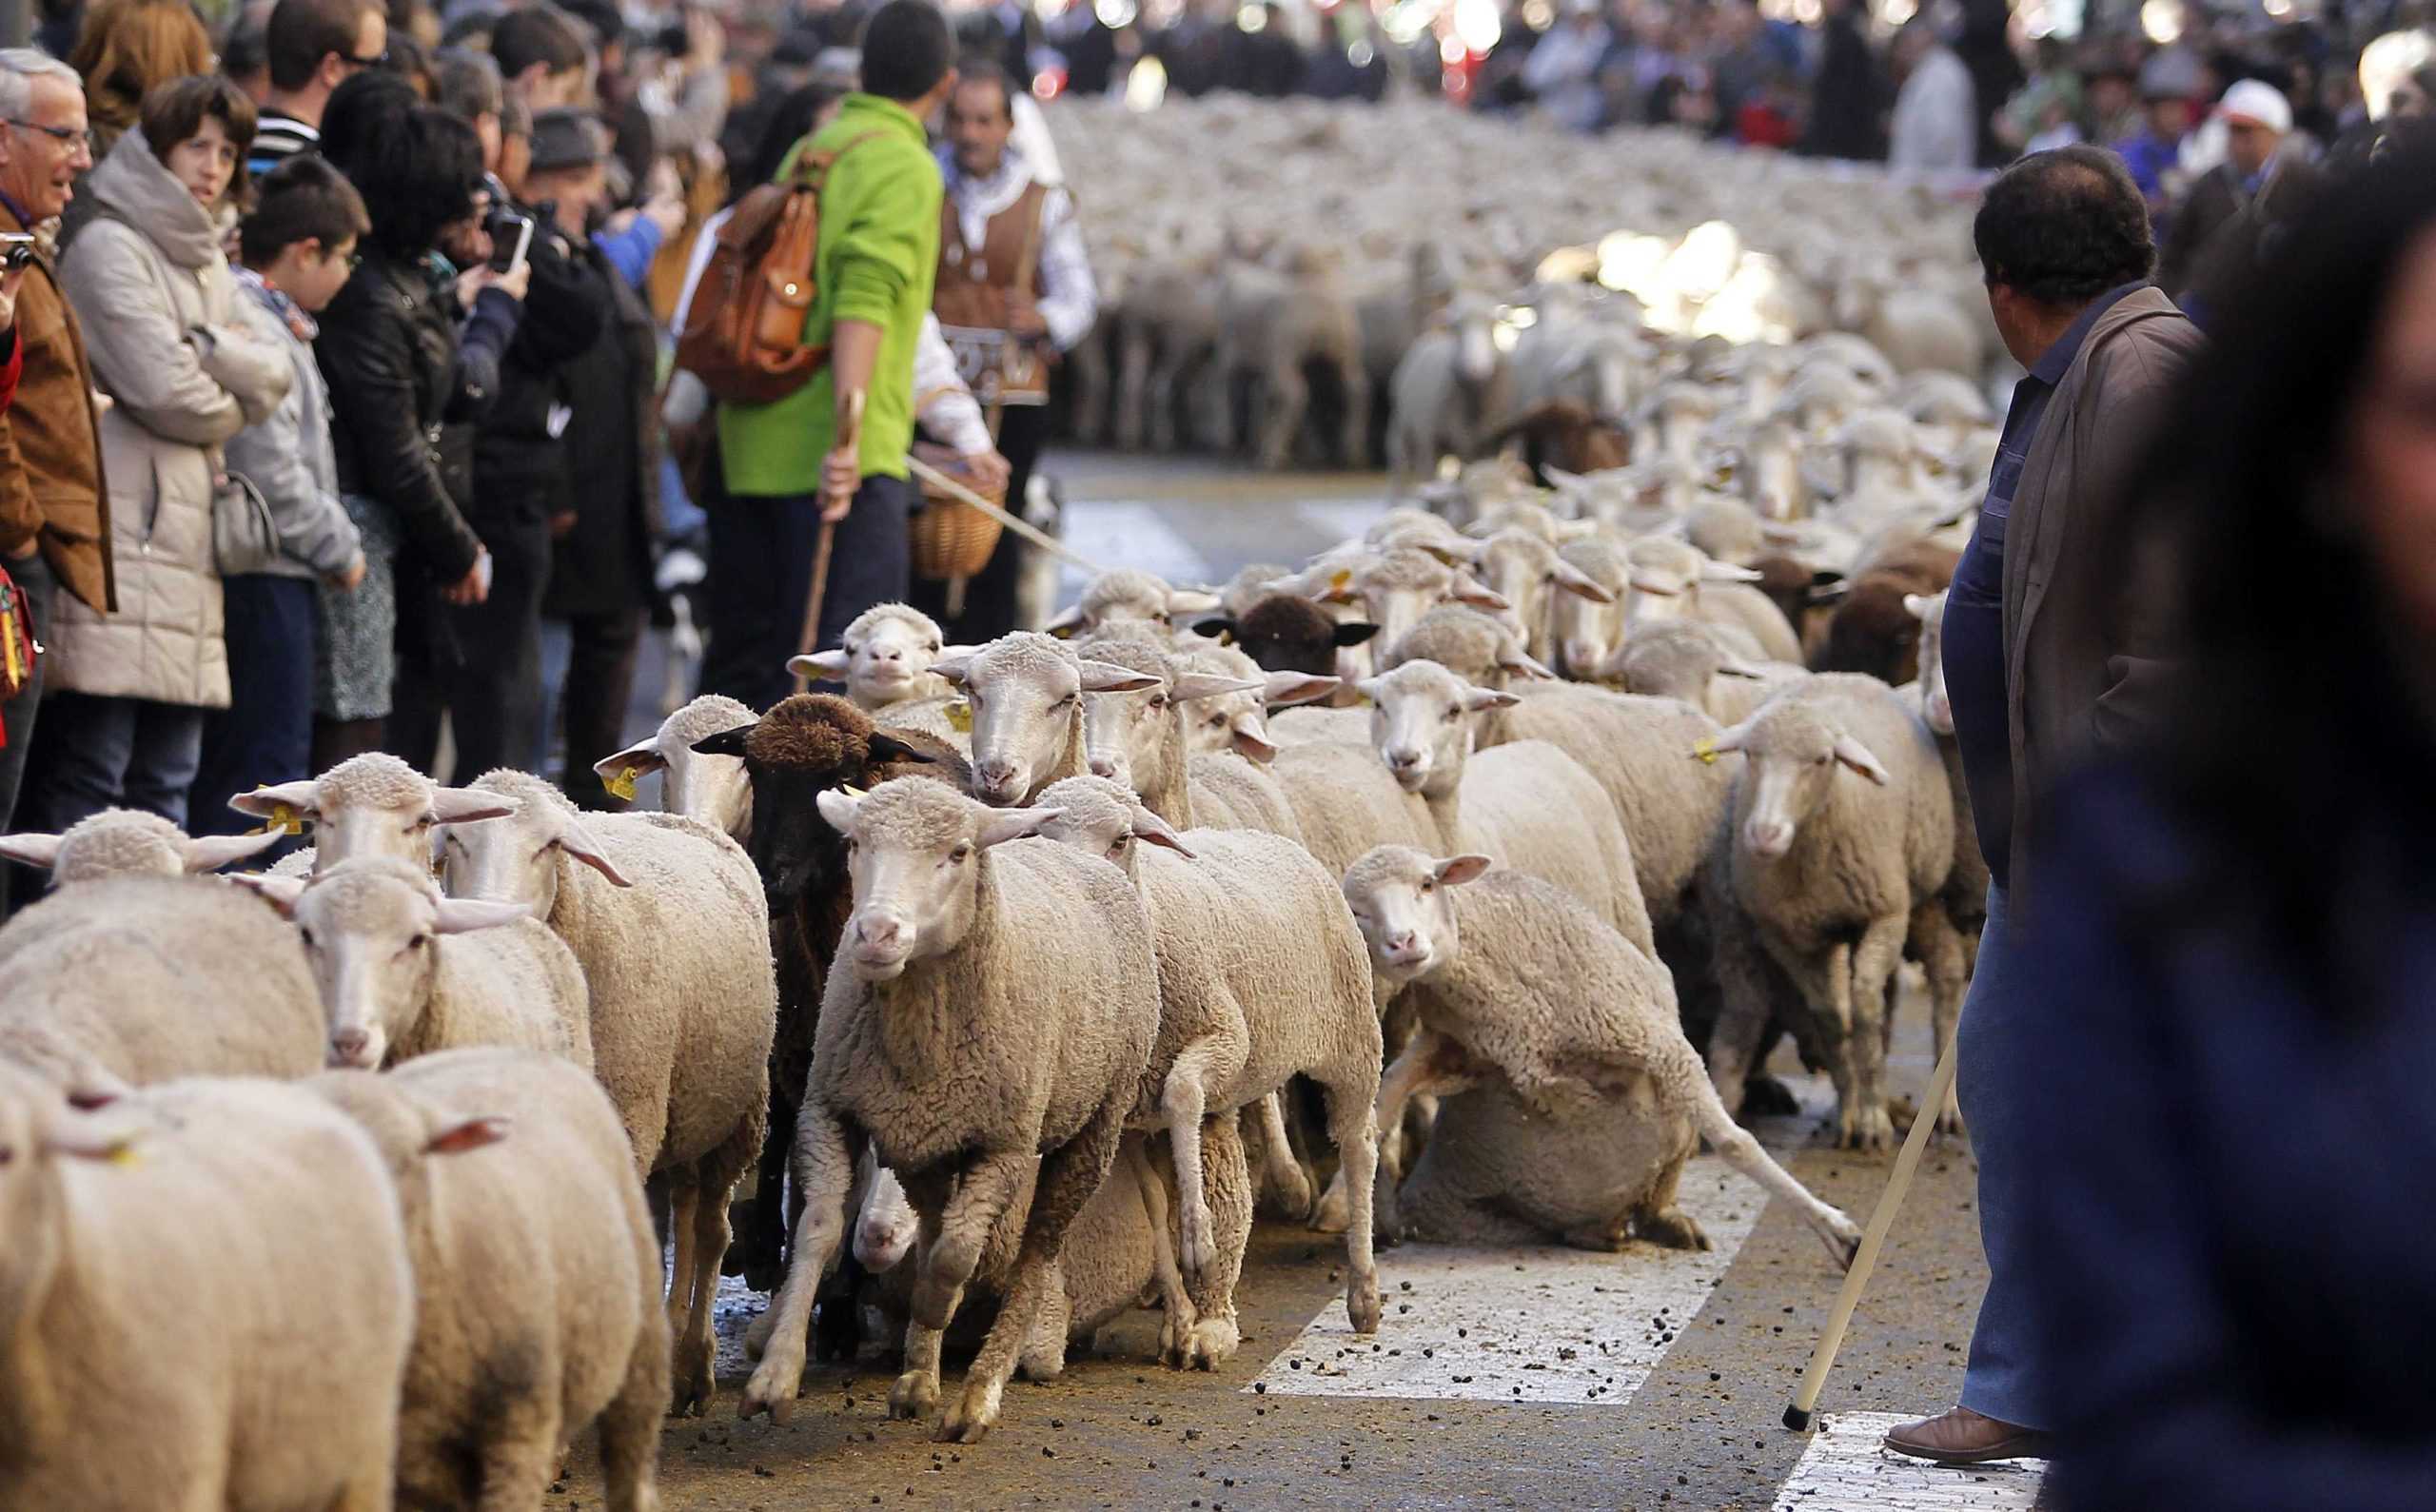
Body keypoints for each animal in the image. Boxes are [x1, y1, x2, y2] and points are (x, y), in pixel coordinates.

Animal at [438, 774, 775, 1412]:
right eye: (454, 842)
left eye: (549, 846)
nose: (490, 920)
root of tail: (686, 821)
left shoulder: (629, 1117)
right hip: (678, 1107)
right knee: (679, 1216)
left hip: (733, 1114)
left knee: (710, 1231)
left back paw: (695, 1365)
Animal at [750, 778, 1179, 1441]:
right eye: (855, 843)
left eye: (957, 853)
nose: (875, 933)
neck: (916, 1032)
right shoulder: (828, 1111)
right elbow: (819, 1230)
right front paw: (775, 1374)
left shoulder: (1005, 1145)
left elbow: (955, 1256)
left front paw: (938, 1311)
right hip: (929, 1142)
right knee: (932, 1228)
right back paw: (917, 1381)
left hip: (1091, 1129)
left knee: (1035, 1250)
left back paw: (977, 1394)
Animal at [1345, 847, 1851, 1266]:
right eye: (1358, 912)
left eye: (1428, 884)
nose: (1403, 943)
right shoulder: (1455, 1047)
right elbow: (1382, 1106)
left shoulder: (1655, 1042)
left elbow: (1734, 1142)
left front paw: (1837, 1232)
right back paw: (1599, 1232)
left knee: (1669, 1163)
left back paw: (1659, 1222)